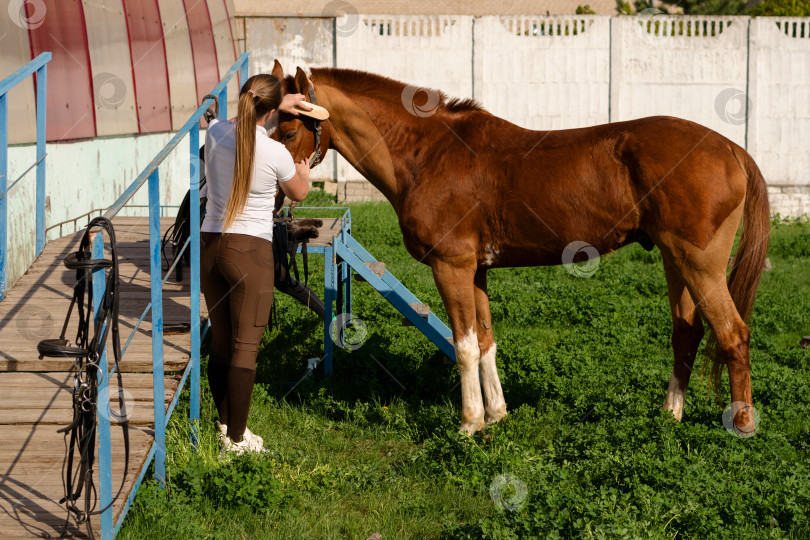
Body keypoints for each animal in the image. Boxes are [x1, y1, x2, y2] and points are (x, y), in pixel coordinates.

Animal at [270, 61, 764, 436]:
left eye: (290, 132)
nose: (276, 191)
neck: (428, 154)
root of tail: (731, 149)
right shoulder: (477, 271)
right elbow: (485, 341)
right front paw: (496, 416)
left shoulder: (451, 267)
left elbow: (464, 345)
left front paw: (469, 424)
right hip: (673, 259)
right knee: (687, 331)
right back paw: (669, 415)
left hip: (699, 263)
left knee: (733, 335)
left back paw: (741, 426)